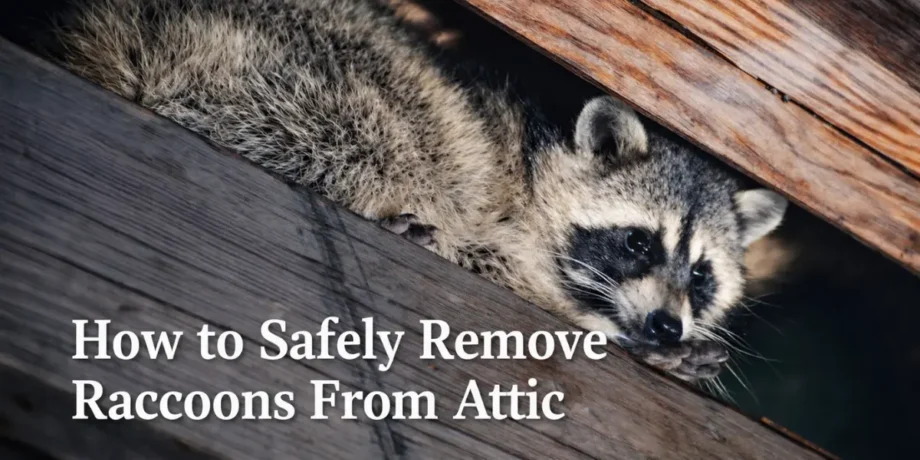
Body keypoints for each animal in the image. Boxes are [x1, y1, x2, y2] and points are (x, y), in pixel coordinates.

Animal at [40, 0, 787, 381]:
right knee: (384, 133)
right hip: (290, 72)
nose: (666, 324)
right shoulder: (497, 209)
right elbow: (501, 265)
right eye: (637, 242)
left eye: (701, 274)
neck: (535, 168)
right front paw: (620, 336)